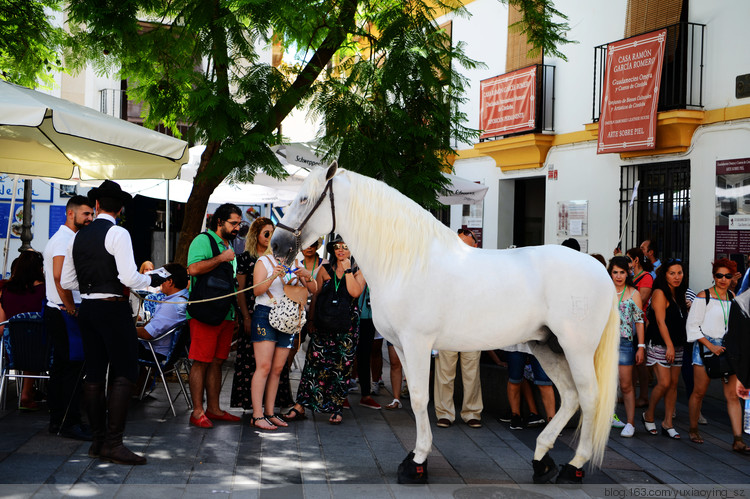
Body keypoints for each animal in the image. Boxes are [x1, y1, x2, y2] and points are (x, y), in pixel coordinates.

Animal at [274, 164, 620, 484]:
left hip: (576, 349)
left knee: (589, 396)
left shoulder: (417, 343)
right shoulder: (402, 346)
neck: (407, 263)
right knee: (571, 396)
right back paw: (542, 461)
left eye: (304, 198)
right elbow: (416, 396)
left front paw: (417, 463)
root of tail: (600, 270)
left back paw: (574, 466)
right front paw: (415, 457)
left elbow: (418, 398)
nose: (278, 245)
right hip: (545, 347)